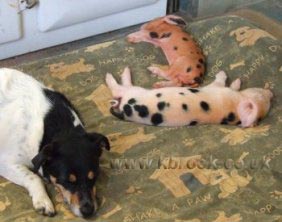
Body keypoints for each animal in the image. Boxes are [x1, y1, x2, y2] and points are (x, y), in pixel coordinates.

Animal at [0, 67, 109, 217]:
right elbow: (34, 178)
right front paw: (43, 201)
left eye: (93, 177)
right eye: (67, 181)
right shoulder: (6, 163)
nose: (88, 211)